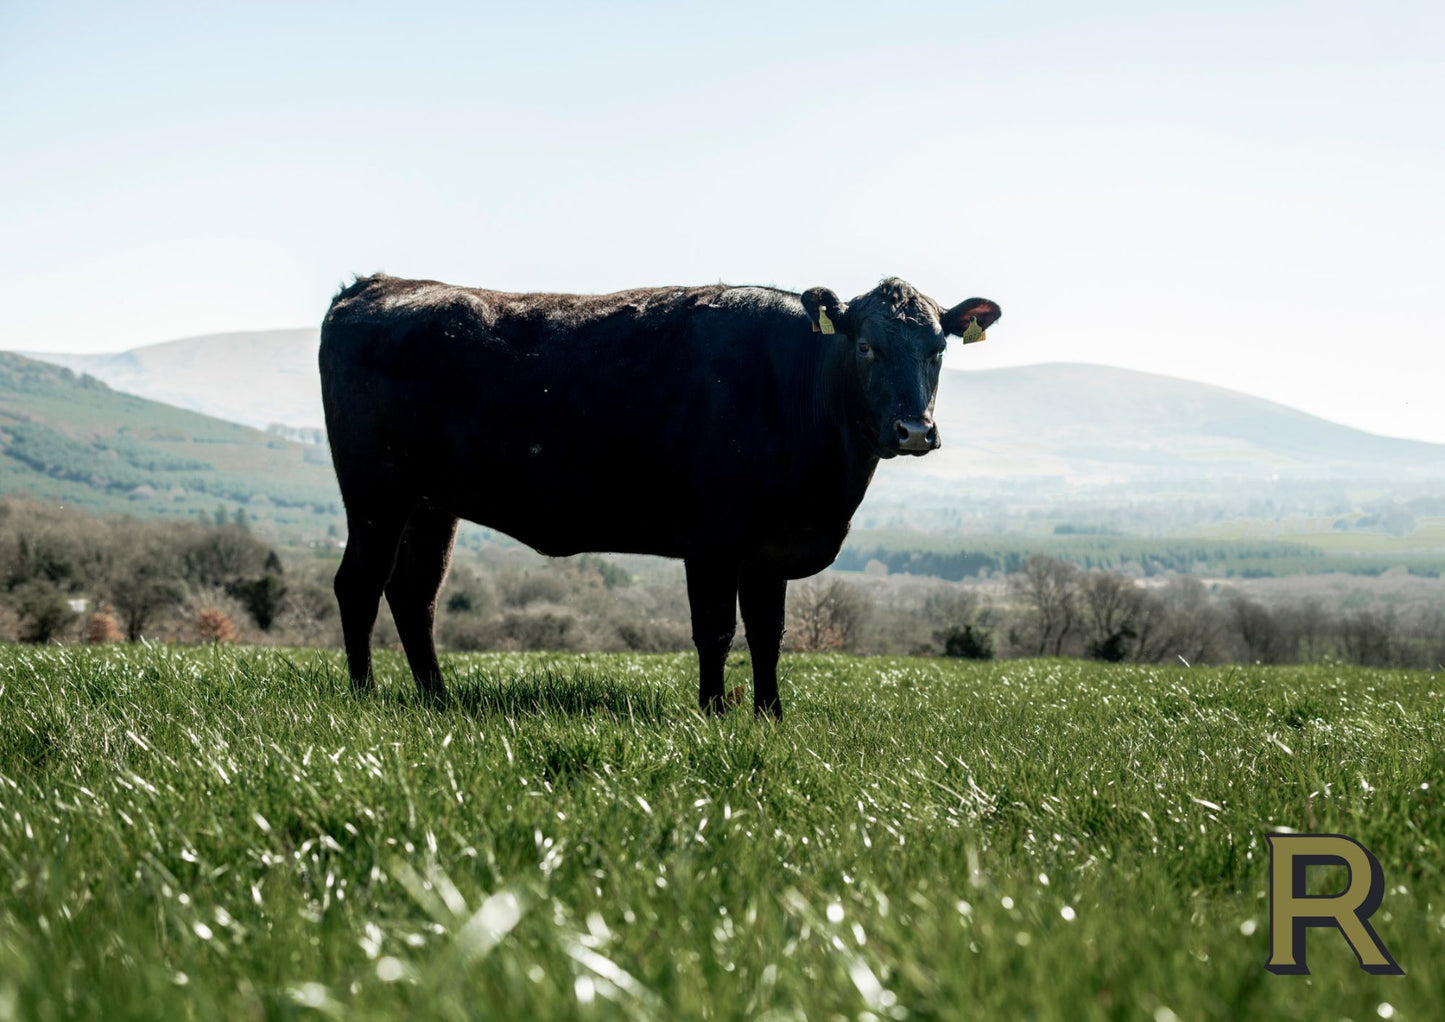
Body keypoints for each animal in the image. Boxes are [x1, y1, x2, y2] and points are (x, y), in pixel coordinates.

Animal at [325, 276, 1005, 716]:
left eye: (937, 350)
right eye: (866, 346)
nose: (914, 430)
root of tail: (375, 283)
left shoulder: (770, 550)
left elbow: (768, 634)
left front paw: (770, 715)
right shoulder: (712, 541)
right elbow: (716, 631)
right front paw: (714, 713)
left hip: (430, 504)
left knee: (415, 594)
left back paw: (436, 699)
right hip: (375, 492)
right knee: (359, 584)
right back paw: (363, 696)